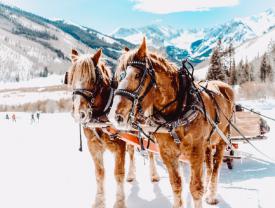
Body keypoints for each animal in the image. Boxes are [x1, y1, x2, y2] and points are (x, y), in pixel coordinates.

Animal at [67, 48, 161, 208]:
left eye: (93, 78)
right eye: (72, 76)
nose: (80, 113)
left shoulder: (119, 146)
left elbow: (118, 173)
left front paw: (119, 202)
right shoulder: (93, 146)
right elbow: (99, 173)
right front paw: (99, 201)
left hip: (148, 129)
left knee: (150, 152)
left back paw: (154, 175)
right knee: (132, 151)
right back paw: (131, 174)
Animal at [108, 37, 235, 208]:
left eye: (137, 75)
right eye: (119, 77)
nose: (116, 115)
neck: (177, 113)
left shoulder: (196, 152)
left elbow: (196, 188)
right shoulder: (168, 153)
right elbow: (176, 185)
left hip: (222, 138)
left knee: (216, 166)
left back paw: (212, 195)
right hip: (207, 143)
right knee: (209, 165)